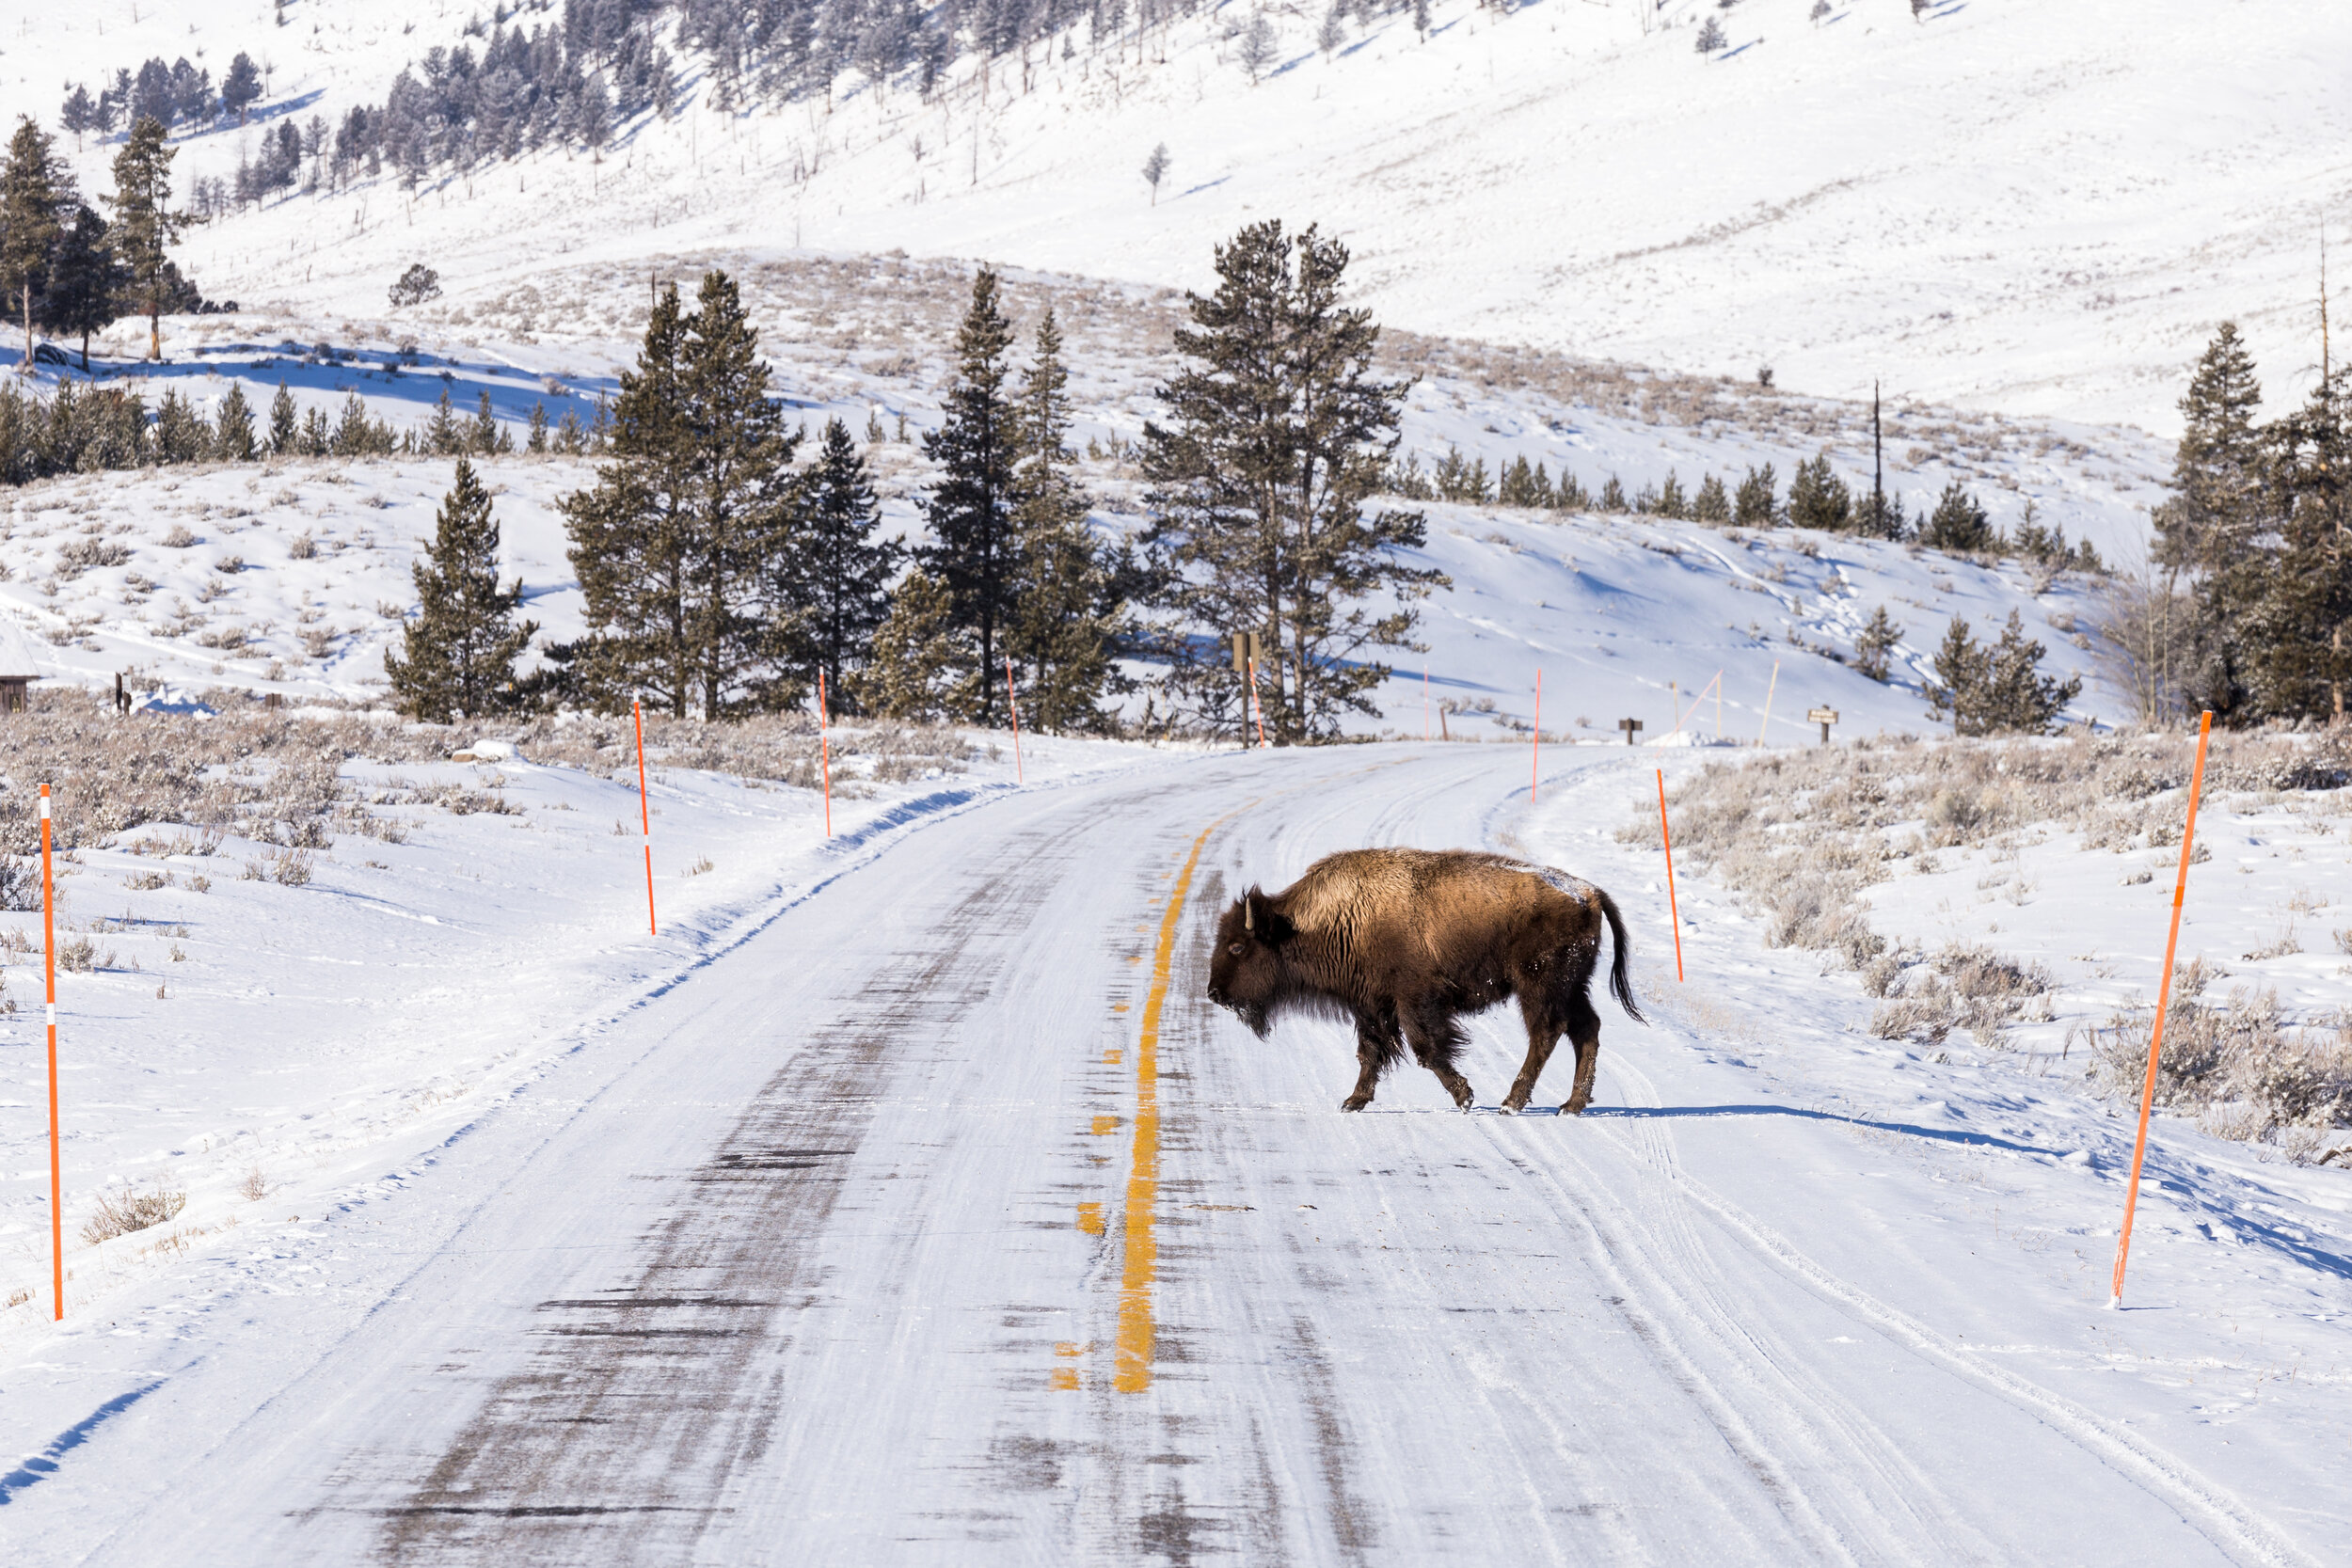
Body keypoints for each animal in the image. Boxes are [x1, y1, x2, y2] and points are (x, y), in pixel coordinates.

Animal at [1204, 846, 1646, 1114]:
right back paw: (1571, 1105)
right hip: (1572, 986)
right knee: (1586, 1028)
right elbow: (1370, 1052)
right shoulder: (1371, 1006)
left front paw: (1465, 1097)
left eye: (1238, 947)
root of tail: (1589, 892)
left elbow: (1426, 1050)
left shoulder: (1415, 1000)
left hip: (1539, 986)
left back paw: (1512, 1102)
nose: (1213, 993)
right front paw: (1353, 1101)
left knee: (1547, 1033)